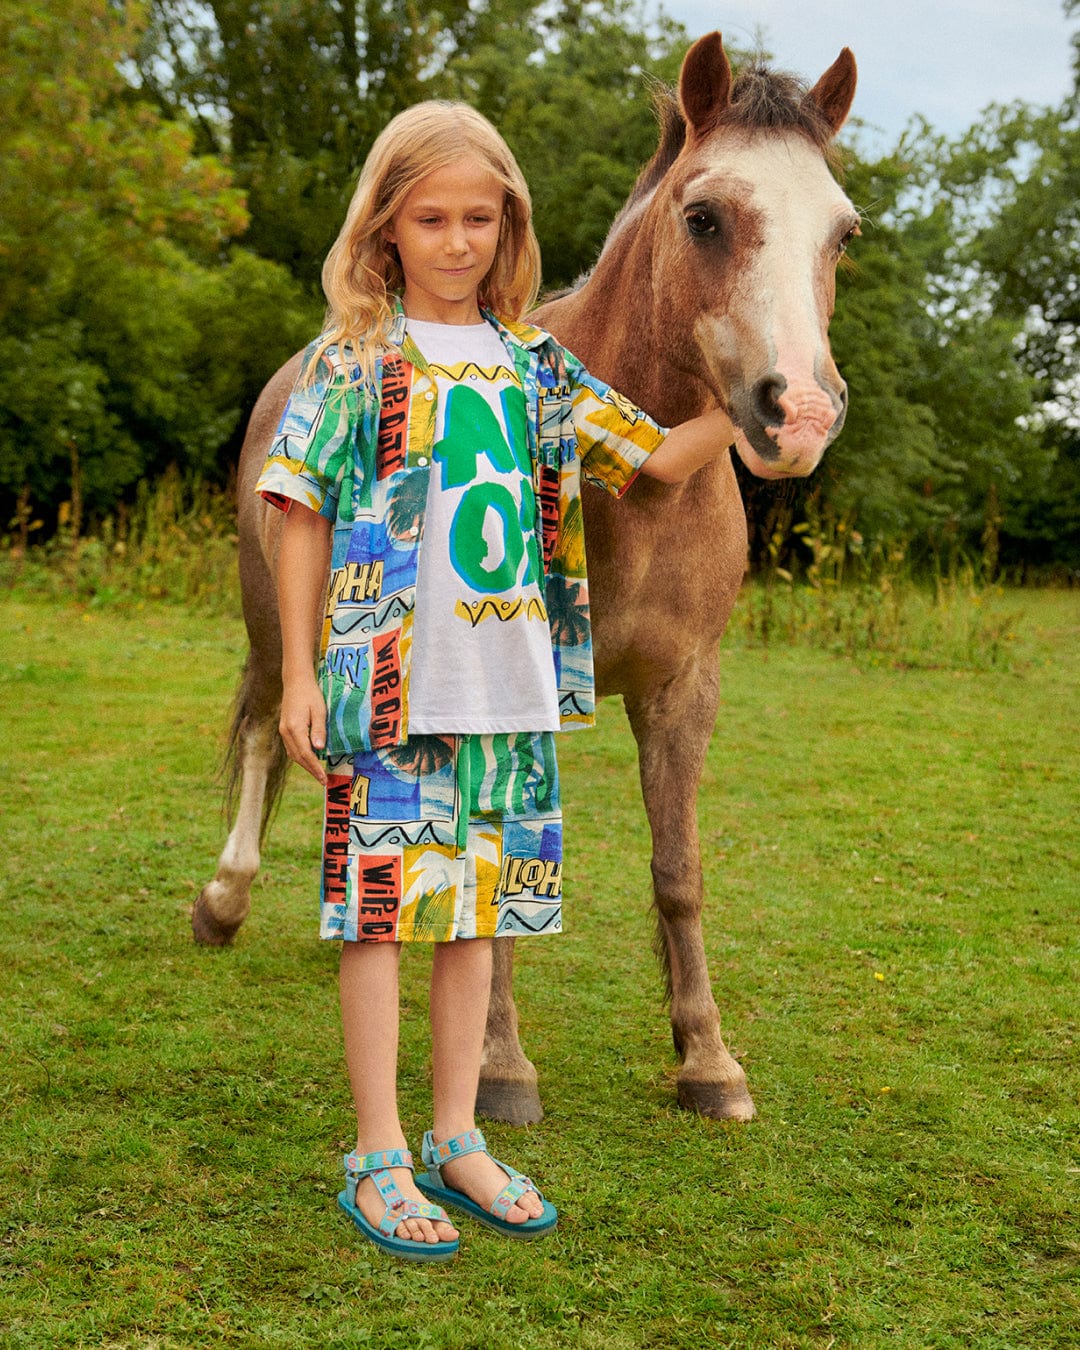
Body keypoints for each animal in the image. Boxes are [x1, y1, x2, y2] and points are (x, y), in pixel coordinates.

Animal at [190, 34, 858, 1128]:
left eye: (842, 233)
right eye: (705, 217)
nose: (797, 411)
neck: (645, 501)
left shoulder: (686, 691)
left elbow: (679, 870)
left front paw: (708, 1061)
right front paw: (499, 1065)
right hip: (274, 620)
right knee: (261, 736)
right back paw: (224, 901)